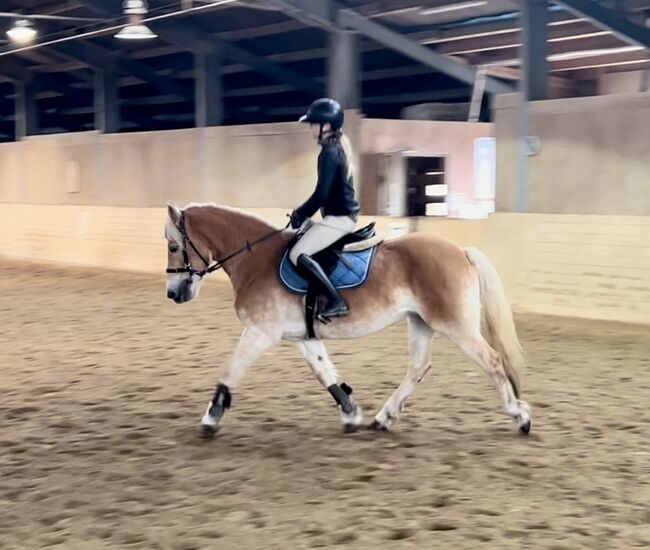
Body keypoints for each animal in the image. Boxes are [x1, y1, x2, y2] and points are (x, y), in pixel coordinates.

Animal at [163, 203, 532, 440]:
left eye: (173, 246)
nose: (173, 293)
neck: (257, 261)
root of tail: (460, 251)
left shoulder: (260, 332)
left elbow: (231, 370)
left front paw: (210, 419)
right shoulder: (302, 337)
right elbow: (325, 373)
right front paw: (351, 413)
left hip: (455, 325)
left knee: (492, 361)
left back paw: (520, 417)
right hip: (420, 322)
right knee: (418, 367)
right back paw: (384, 418)